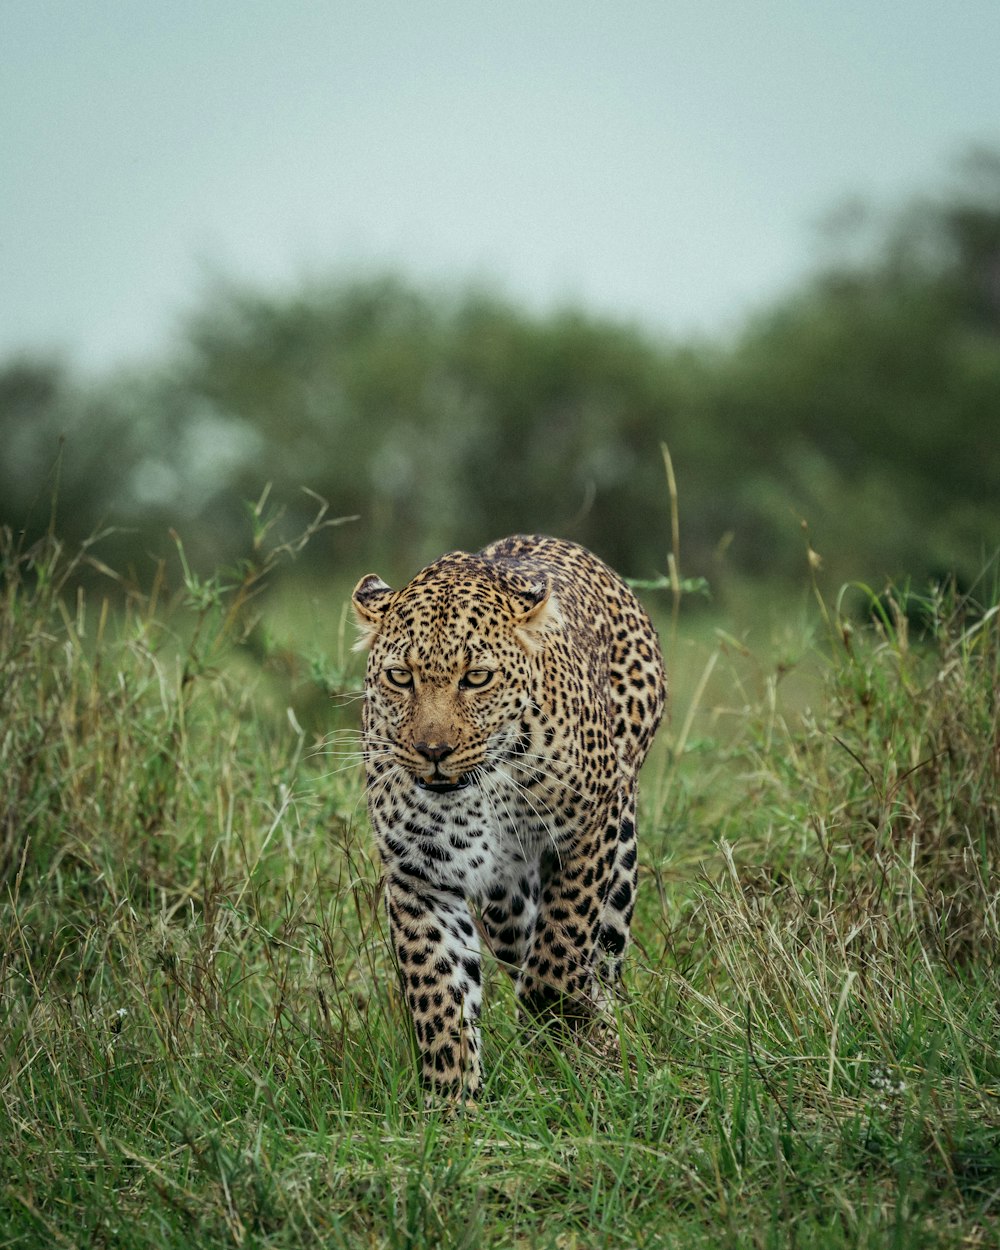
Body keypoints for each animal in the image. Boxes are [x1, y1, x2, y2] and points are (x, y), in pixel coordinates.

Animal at [352, 532, 665, 1100]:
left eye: (476, 678)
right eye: (400, 677)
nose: (433, 751)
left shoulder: (588, 832)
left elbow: (562, 946)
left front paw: (559, 1017)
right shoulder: (418, 876)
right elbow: (440, 997)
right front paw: (453, 1104)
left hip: (622, 841)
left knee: (603, 958)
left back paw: (603, 1042)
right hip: (505, 899)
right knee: (522, 941)